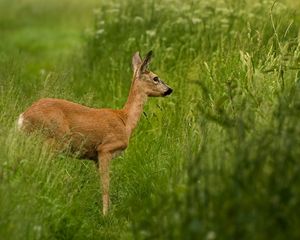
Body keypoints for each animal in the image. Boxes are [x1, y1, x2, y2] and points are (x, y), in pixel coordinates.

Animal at [18, 50, 173, 214]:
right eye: (156, 78)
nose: (170, 89)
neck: (125, 121)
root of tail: (23, 117)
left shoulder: (95, 158)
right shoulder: (105, 148)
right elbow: (105, 185)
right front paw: (105, 214)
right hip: (52, 141)